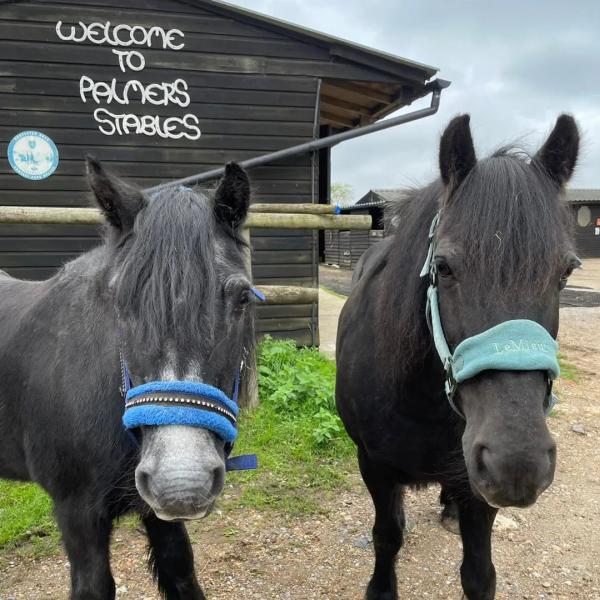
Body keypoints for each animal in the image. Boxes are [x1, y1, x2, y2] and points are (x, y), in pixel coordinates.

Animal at [0, 161, 254, 600]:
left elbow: (181, 571)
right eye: (118, 301)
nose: (181, 482)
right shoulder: (77, 514)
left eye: (242, 298)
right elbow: (95, 586)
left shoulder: (159, 514)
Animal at [336, 113, 580, 600]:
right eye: (444, 267)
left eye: (565, 271)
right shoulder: (373, 465)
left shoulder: (476, 484)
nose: (517, 463)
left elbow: (479, 573)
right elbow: (386, 535)